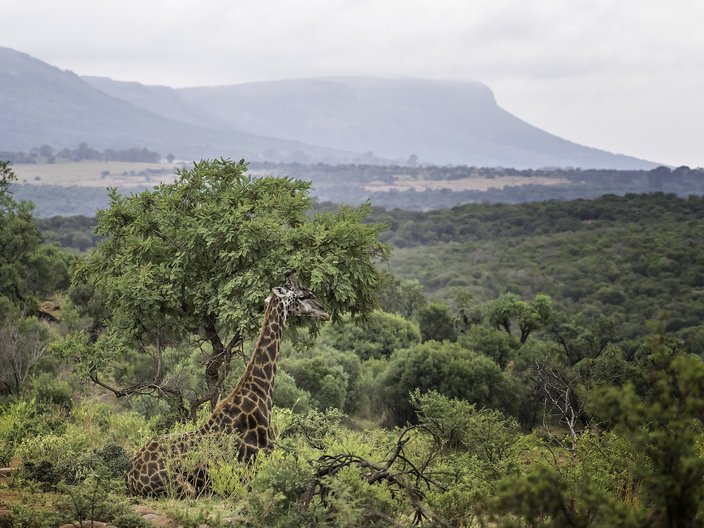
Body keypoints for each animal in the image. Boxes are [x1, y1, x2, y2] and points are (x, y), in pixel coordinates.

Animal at [126, 274, 330, 498]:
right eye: (302, 295)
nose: (325, 312)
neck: (259, 394)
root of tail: (129, 477)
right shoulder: (255, 469)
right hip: (185, 487)